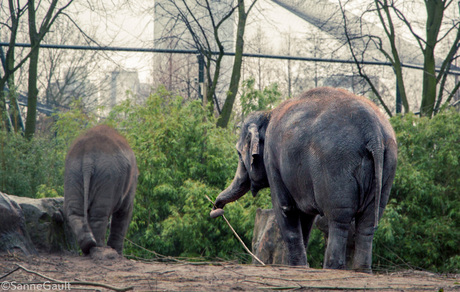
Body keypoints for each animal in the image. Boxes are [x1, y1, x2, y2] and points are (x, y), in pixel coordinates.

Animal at [63, 125, 137, 256]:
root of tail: (88, 159)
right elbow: (125, 210)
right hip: (108, 175)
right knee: (99, 214)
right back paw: (99, 248)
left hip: (73, 171)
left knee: (75, 212)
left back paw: (88, 245)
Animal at [214, 86, 398, 272]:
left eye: (239, 154)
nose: (216, 209)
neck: (268, 114)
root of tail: (373, 131)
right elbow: (306, 216)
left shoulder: (273, 160)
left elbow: (286, 208)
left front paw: (298, 267)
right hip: (388, 164)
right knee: (369, 220)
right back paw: (362, 270)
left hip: (337, 164)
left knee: (339, 218)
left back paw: (332, 268)